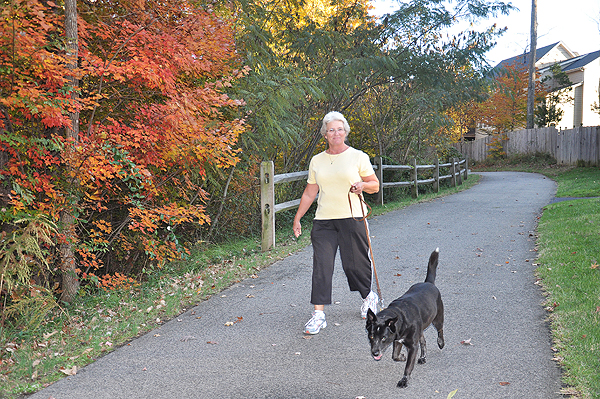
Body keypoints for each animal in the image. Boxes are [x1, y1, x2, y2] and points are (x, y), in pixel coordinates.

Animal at [364, 248, 442, 390]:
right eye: (371, 336)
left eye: (383, 338)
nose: (375, 353)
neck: (399, 316)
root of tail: (428, 283)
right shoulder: (397, 340)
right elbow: (394, 356)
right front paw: (401, 356)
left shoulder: (412, 347)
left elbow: (408, 367)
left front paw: (404, 380)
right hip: (421, 329)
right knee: (423, 341)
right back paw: (423, 357)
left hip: (437, 318)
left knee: (440, 330)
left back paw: (441, 342)